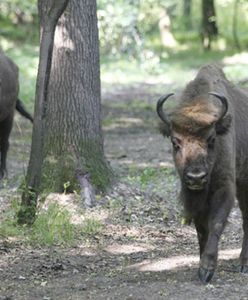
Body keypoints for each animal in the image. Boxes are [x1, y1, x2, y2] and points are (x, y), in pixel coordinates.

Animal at [157, 63, 248, 284]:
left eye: (211, 139)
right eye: (175, 142)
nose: (196, 177)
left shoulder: (225, 187)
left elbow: (216, 223)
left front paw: (207, 269)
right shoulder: (193, 197)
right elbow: (201, 228)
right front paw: (200, 264)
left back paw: (243, 264)